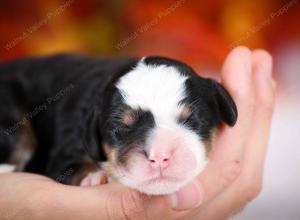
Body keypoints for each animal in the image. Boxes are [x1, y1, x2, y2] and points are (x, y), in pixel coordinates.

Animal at [0, 54, 238, 195]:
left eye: (192, 120)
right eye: (121, 129)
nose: (159, 156)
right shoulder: (68, 145)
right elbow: (70, 166)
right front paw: (94, 176)